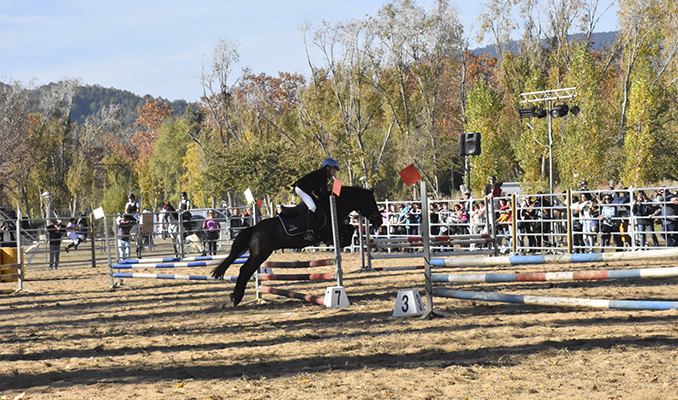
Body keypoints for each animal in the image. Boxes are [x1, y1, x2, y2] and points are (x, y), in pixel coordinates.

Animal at [212, 186, 382, 308]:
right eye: (372, 202)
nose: (379, 221)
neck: (332, 206)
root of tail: (253, 229)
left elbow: (349, 229)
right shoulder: (328, 231)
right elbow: (348, 230)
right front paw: (341, 241)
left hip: (259, 254)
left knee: (246, 271)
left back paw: (238, 297)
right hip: (261, 254)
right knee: (245, 271)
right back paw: (236, 298)